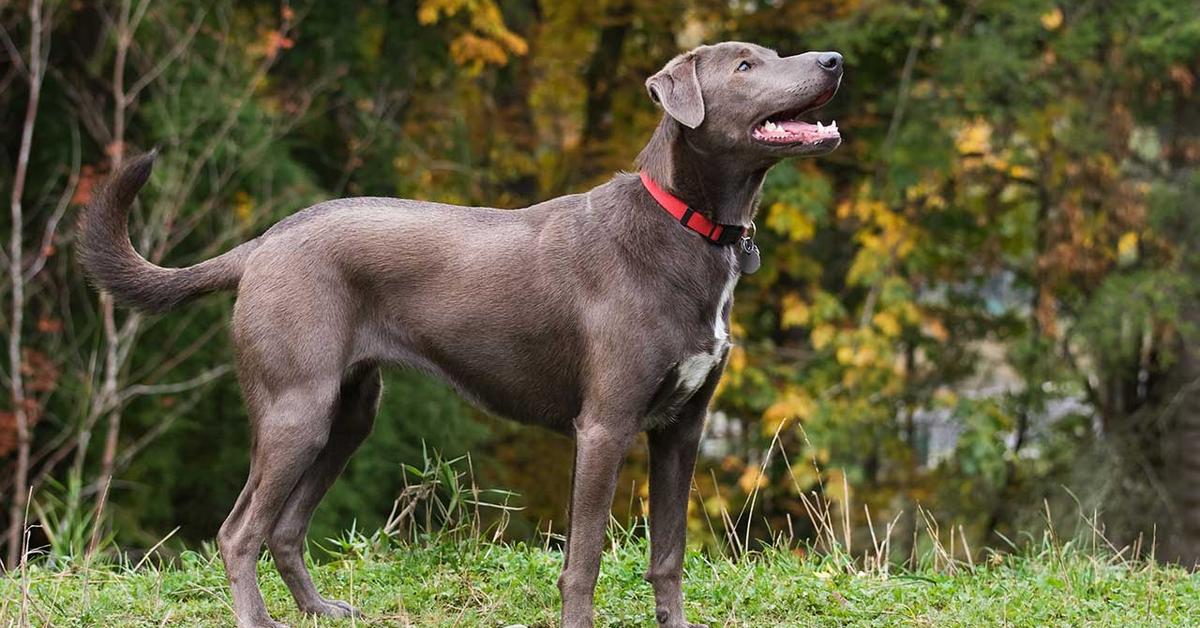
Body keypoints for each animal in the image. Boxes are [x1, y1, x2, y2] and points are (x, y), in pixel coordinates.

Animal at [79, 40, 844, 628]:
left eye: (770, 53)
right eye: (745, 66)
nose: (834, 61)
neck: (684, 226)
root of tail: (261, 244)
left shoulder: (683, 428)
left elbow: (669, 555)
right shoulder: (604, 427)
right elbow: (584, 560)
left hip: (349, 413)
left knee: (285, 528)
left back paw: (321, 611)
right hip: (296, 409)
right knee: (239, 531)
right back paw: (260, 619)